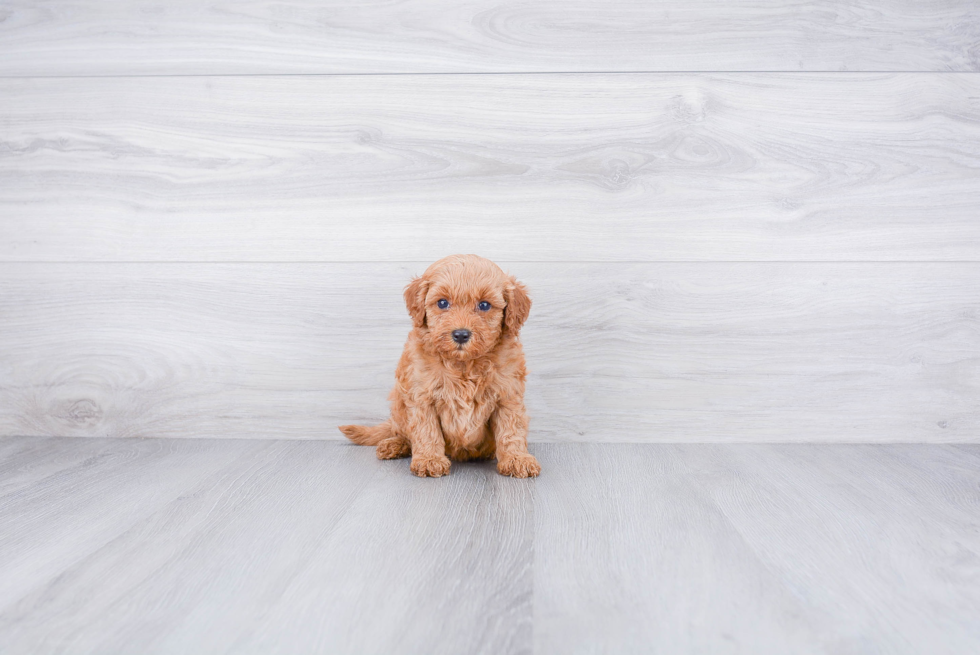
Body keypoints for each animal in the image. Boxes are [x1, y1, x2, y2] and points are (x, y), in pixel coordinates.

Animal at [338, 254, 540, 480]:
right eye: (443, 303)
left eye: (485, 305)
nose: (461, 334)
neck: (463, 364)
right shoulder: (421, 397)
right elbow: (427, 430)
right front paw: (429, 459)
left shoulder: (508, 396)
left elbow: (511, 430)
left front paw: (517, 458)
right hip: (399, 403)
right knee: (401, 431)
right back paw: (395, 445)